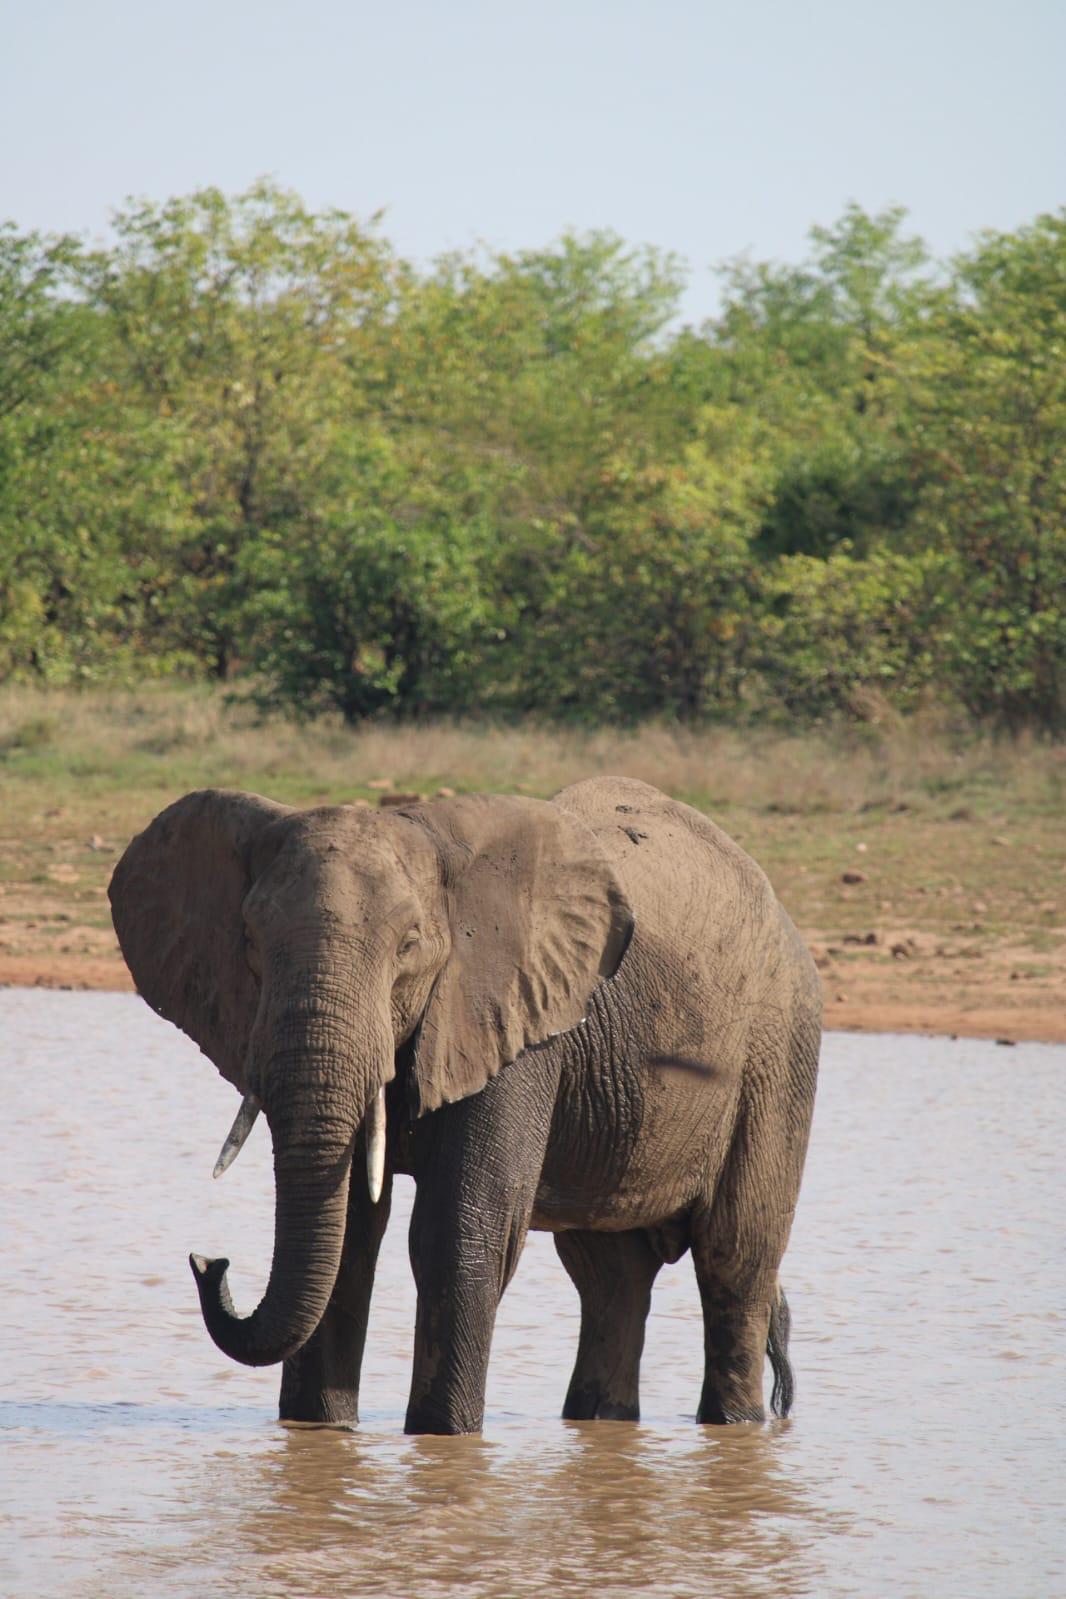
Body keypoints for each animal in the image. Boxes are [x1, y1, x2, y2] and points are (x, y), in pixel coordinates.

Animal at [109, 776, 820, 1435]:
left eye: (409, 946)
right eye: (250, 944)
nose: (209, 1263)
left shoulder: (515, 1016)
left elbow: (457, 1231)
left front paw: (441, 1440)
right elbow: (352, 1235)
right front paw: (319, 1434)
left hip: (779, 1052)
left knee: (735, 1258)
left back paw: (734, 1423)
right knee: (609, 1277)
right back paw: (601, 1422)